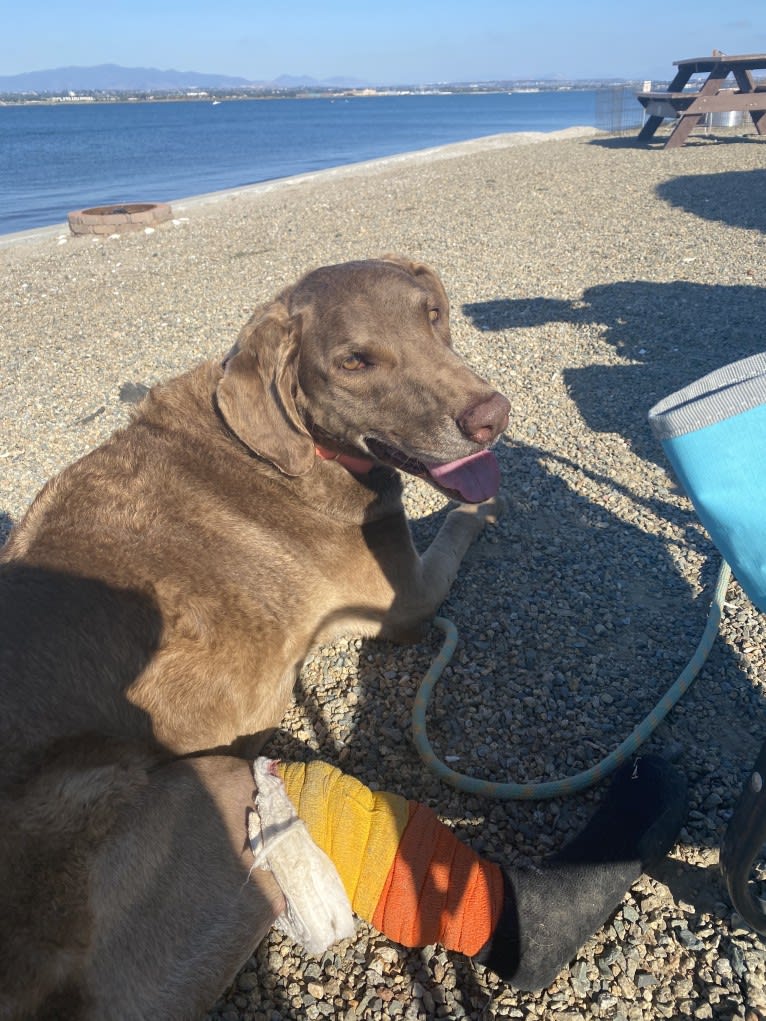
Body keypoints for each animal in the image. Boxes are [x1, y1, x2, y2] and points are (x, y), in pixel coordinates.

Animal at [1, 257, 516, 1021]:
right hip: (205, 791)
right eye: (355, 362)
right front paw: (481, 505)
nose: (491, 416)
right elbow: (455, 525)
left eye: (432, 315)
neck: (289, 443)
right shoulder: (408, 601)